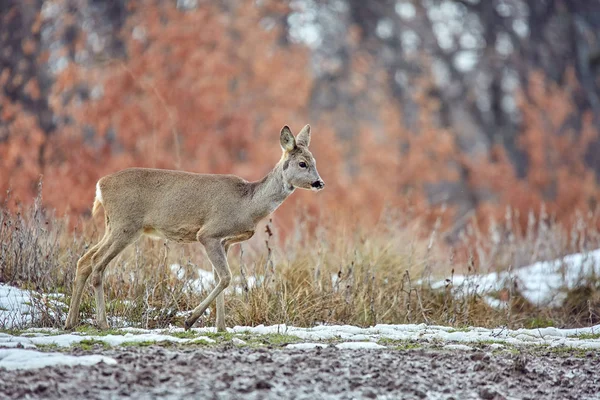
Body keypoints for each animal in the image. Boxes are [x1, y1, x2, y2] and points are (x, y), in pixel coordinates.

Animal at [63, 125, 324, 332]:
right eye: (302, 163)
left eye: (314, 162)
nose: (319, 182)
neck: (248, 205)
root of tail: (100, 185)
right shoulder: (208, 233)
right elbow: (226, 278)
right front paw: (190, 320)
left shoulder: (225, 241)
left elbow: (221, 279)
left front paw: (221, 327)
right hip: (125, 225)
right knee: (97, 262)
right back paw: (102, 323)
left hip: (113, 225)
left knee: (84, 260)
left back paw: (70, 322)